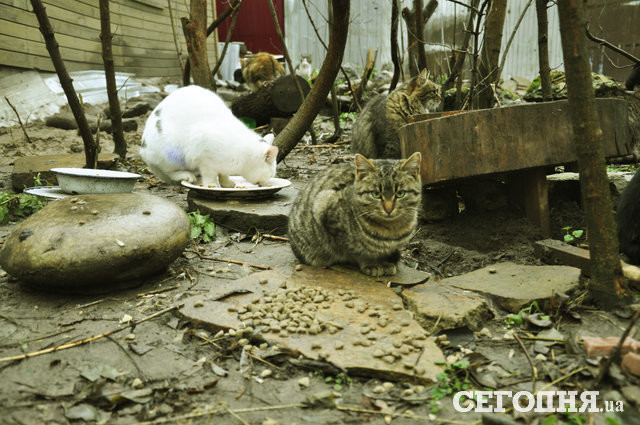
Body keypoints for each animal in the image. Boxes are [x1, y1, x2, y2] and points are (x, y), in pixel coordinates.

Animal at [140, 85, 278, 187]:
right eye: (271, 174)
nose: (268, 182)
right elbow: (210, 175)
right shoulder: (206, 159)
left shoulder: (221, 166)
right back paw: (188, 176)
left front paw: (228, 184)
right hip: (172, 155)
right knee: (169, 172)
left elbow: (223, 175)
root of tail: (144, 152)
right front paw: (213, 186)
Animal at [288, 152, 423, 277]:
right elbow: (357, 252)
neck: (391, 230)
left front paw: (385, 261)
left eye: (400, 193)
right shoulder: (325, 208)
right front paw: (371, 263)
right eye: (376, 194)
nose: (388, 209)